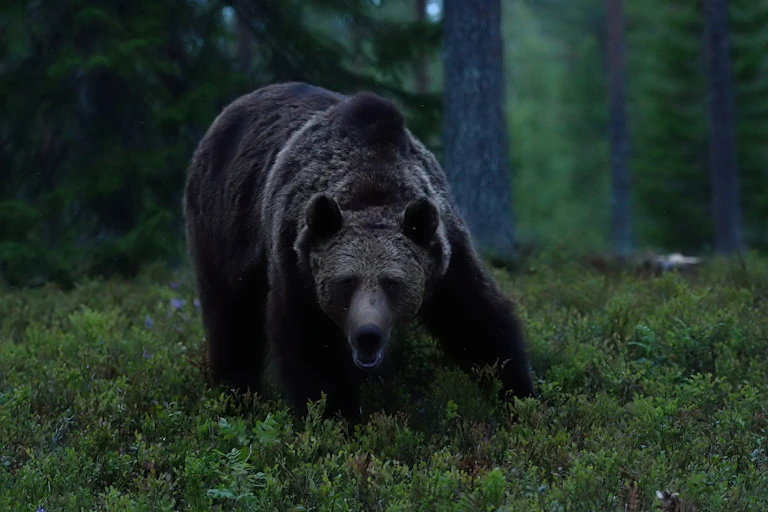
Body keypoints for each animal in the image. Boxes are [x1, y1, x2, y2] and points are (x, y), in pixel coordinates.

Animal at [183, 82, 535, 420]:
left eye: (393, 282)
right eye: (347, 281)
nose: (368, 334)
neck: (371, 185)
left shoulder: (445, 257)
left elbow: (479, 325)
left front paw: (520, 397)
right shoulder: (297, 266)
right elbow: (311, 351)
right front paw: (336, 418)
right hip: (221, 229)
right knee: (232, 320)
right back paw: (235, 394)